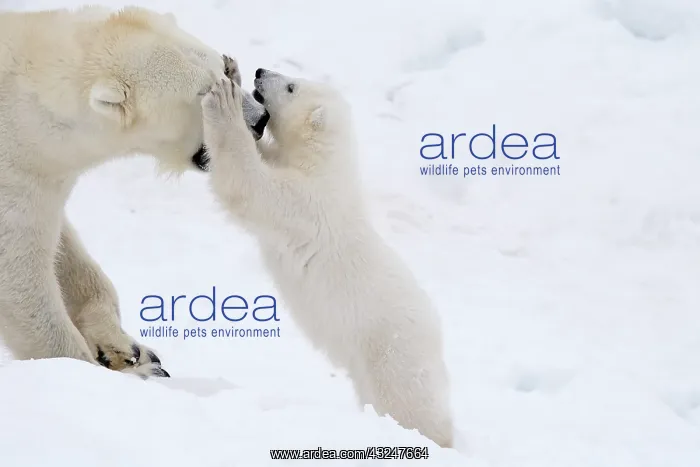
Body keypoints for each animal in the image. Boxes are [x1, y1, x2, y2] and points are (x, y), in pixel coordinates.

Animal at [0, 6, 267, 378]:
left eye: (224, 70)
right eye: (204, 94)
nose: (260, 120)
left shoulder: (44, 172)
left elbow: (66, 252)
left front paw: (127, 350)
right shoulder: (15, 175)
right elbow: (19, 279)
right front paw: (113, 371)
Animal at [200, 73, 455, 448]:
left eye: (291, 87)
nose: (260, 72)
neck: (324, 166)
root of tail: (437, 335)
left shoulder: (305, 203)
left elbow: (248, 186)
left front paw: (224, 101)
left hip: (391, 350)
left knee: (410, 403)